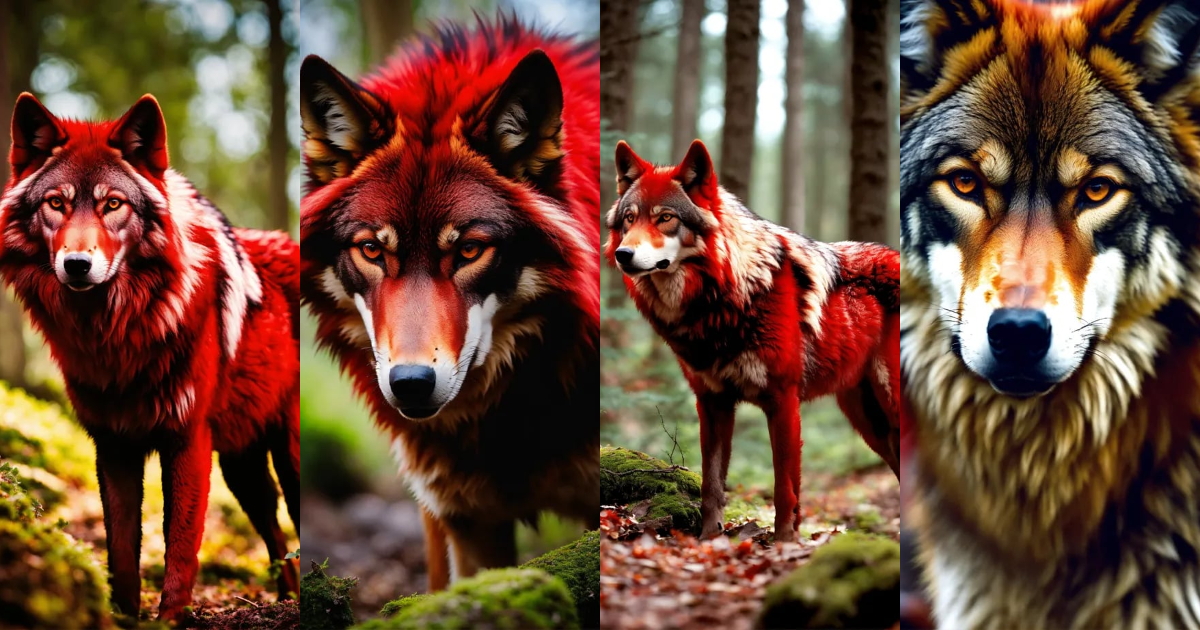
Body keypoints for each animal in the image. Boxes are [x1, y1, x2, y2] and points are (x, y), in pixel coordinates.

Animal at [0, 93, 300, 620]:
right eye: (56, 203)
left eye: (112, 204)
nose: (77, 265)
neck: (115, 334)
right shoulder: (113, 443)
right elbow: (122, 548)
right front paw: (122, 617)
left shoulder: (187, 440)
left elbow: (178, 543)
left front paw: (169, 621)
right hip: (241, 467)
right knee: (276, 531)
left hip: (284, 456)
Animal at [605, 140, 901, 542]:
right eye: (629, 219)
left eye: (665, 218)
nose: (624, 255)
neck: (724, 297)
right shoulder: (712, 402)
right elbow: (712, 485)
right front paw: (709, 541)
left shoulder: (783, 400)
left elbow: (784, 489)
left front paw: (784, 544)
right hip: (869, 421)